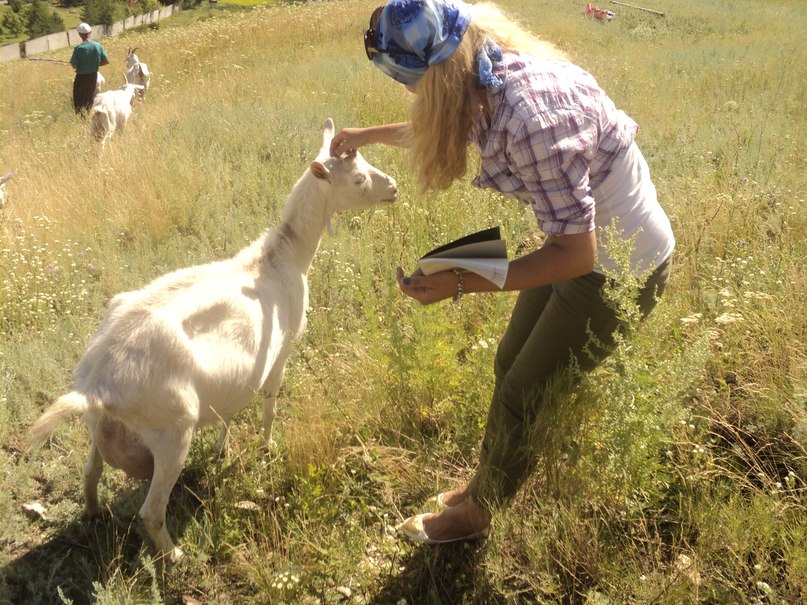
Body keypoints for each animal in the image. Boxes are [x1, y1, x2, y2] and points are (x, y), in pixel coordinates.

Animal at [26, 118, 400, 560]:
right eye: (358, 179)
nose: (394, 187)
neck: (281, 257)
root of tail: (97, 385)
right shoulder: (282, 352)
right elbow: (270, 407)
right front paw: (267, 449)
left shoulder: (239, 374)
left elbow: (230, 410)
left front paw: (224, 449)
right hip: (172, 432)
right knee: (151, 511)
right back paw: (175, 556)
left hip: (99, 429)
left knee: (89, 474)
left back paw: (94, 515)